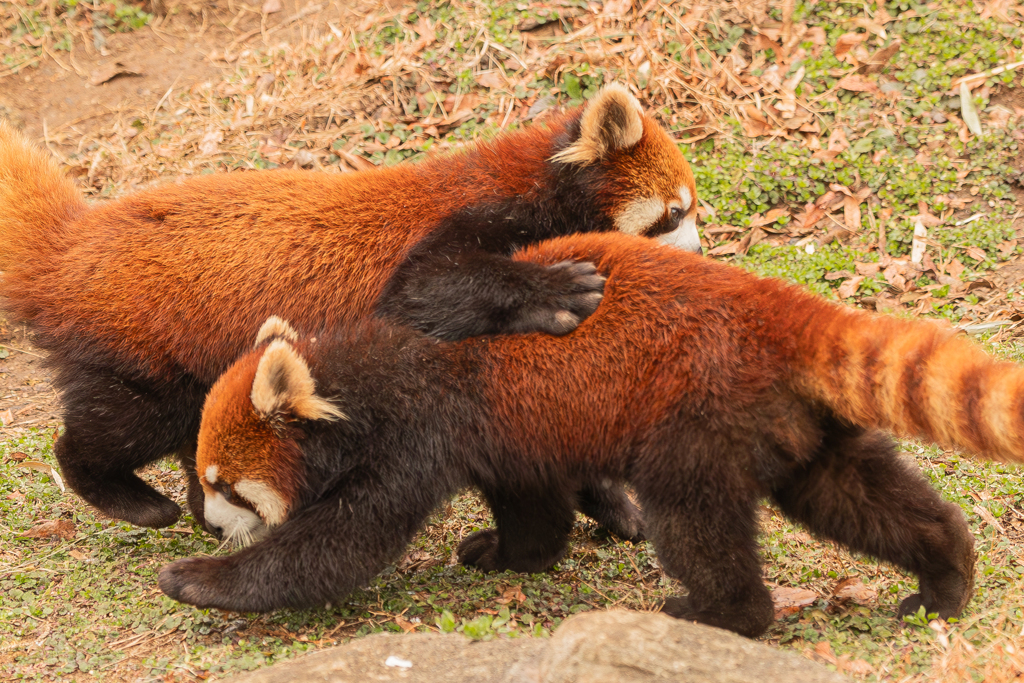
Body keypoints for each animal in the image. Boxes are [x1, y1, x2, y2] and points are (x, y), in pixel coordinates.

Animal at [0, 85, 696, 532]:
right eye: (675, 212)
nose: (700, 249)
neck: (532, 178)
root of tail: (71, 244)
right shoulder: (473, 221)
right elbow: (428, 288)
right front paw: (557, 291)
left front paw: (617, 509)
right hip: (141, 352)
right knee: (113, 428)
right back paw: (136, 501)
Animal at [155, 232, 1011, 638]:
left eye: (222, 483)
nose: (206, 523)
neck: (354, 379)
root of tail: (770, 305)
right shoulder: (505, 431)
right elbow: (536, 506)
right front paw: (513, 552)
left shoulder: (420, 423)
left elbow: (341, 542)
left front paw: (199, 580)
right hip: (787, 423)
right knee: (855, 492)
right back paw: (945, 576)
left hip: (693, 424)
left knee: (696, 523)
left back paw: (720, 612)